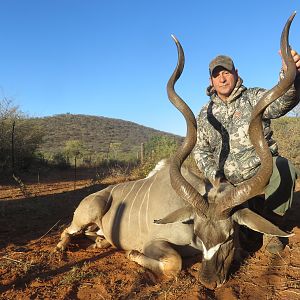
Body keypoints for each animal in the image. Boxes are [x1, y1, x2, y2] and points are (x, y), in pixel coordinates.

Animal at [57, 12, 296, 290]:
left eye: (229, 236)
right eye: (198, 235)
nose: (208, 281)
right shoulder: (156, 242)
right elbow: (174, 262)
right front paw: (133, 253)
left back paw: (99, 241)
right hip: (89, 212)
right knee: (67, 230)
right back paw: (62, 247)